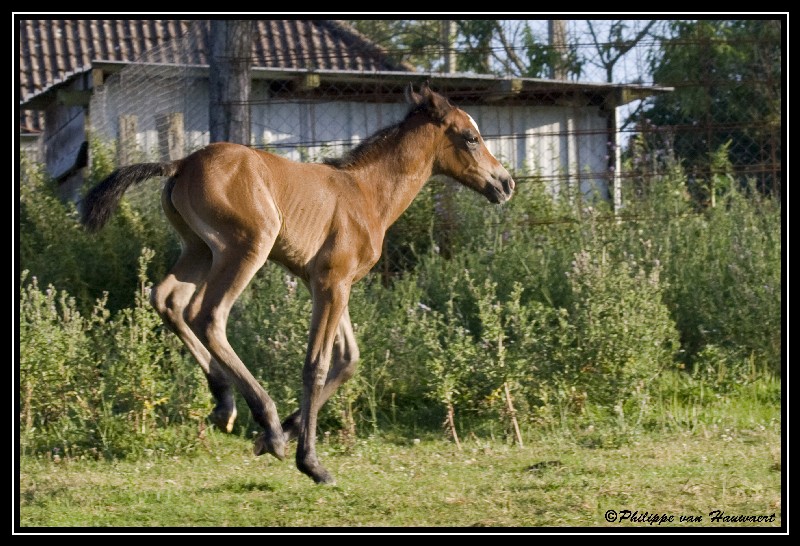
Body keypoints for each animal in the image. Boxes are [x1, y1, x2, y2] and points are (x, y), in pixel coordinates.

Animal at [81, 81, 516, 480]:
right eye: (471, 137)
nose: (506, 183)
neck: (366, 192)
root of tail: (182, 162)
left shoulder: (328, 283)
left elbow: (348, 360)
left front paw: (284, 435)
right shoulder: (332, 282)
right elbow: (316, 365)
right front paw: (308, 460)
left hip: (199, 249)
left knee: (166, 298)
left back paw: (225, 404)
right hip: (246, 246)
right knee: (207, 315)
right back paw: (268, 423)